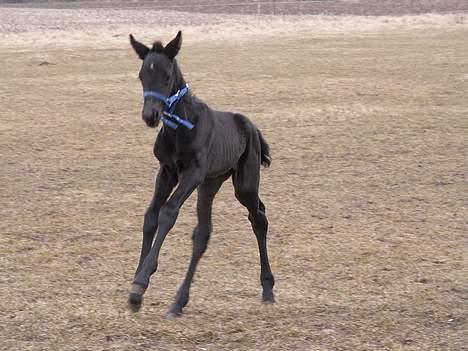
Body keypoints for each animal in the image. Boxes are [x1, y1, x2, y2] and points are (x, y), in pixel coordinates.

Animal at [127, 32, 274, 320]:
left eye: (166, 76)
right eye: (141, 76)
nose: (150, 116)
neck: (181, 127)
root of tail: (252, 126)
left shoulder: (192, 173)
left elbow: (168, 212)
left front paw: (140, 283)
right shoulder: (167, 171)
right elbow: (151, 216)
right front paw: (136, 289)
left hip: (244, 184)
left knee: (259, 218)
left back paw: (268, 289)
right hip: (211, 183)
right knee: (203, 233)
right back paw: (179, 302)